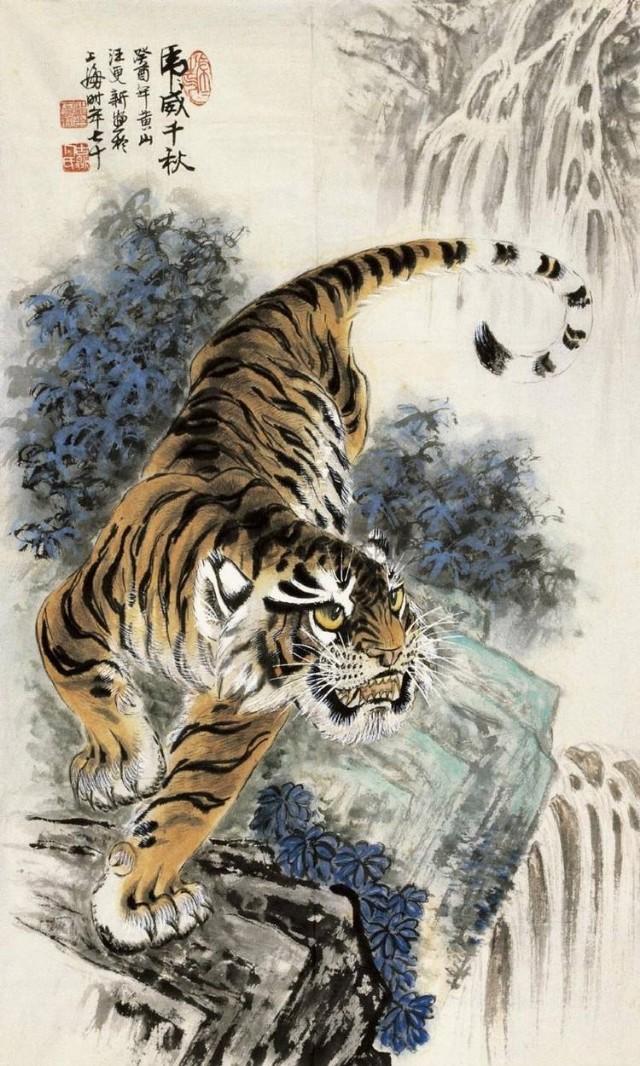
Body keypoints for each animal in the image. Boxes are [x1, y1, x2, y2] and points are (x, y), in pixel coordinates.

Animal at [36, 237, 592, 954]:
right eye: (330, 613)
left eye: (398, 607)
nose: (396, 655)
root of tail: (290, 297)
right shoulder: (72, 609)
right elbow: (84, 681)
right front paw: (123, 766)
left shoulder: (244, 708)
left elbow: (191, 798)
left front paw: (140, 903)